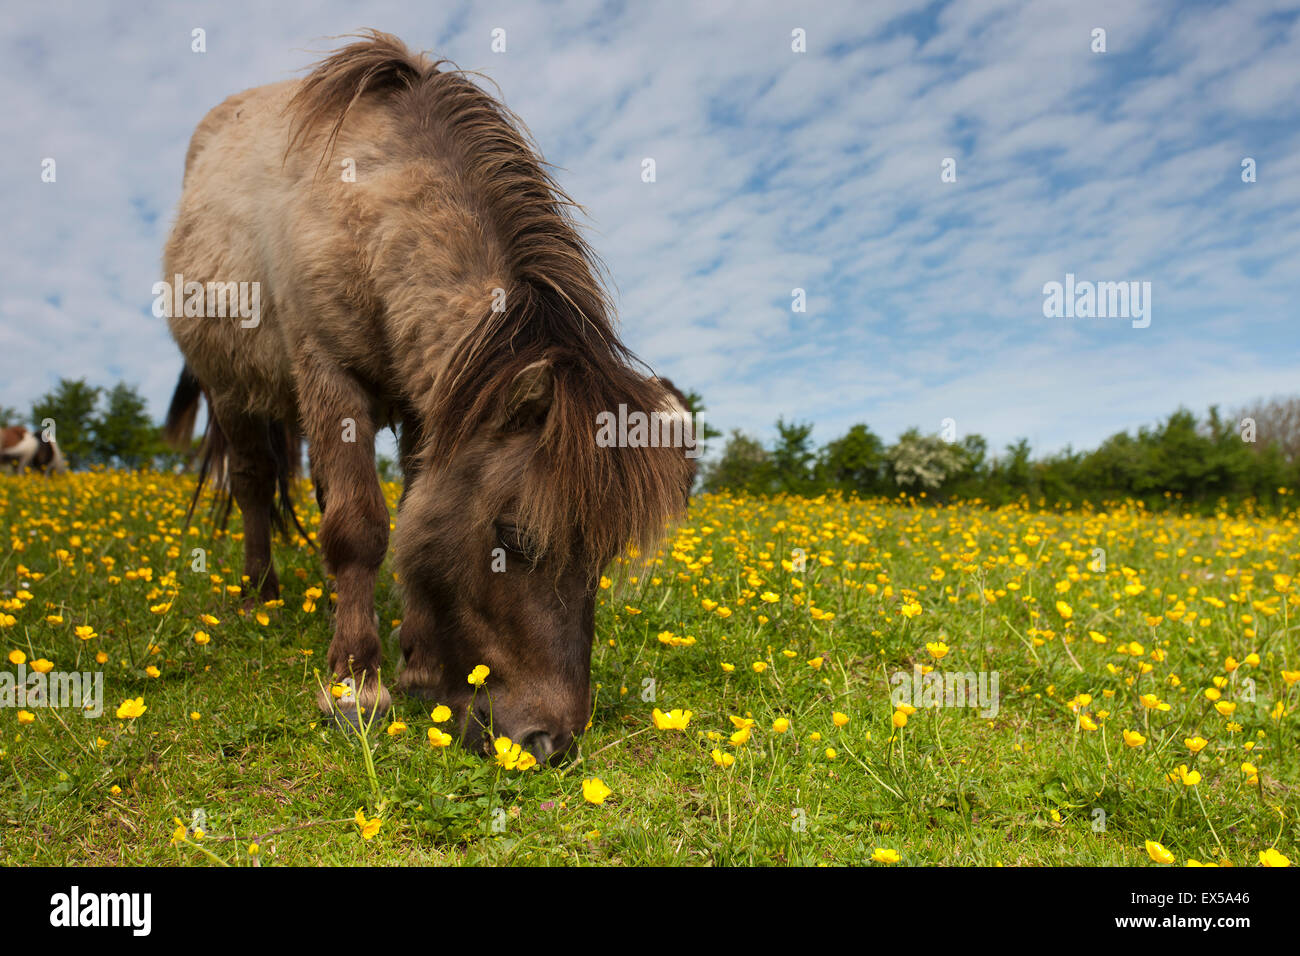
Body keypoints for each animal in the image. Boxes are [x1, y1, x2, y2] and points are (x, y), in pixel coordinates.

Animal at [161, 32, 692, 763]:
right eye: (514, 536)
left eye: (603, 557)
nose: (551, 742)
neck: (369, 208)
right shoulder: (330, 375)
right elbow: (358, 527)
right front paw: (357, 687)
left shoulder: (426, 409)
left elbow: (409, 513)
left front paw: (414, 662)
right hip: (232, 390)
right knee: (252, 484)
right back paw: (259, 598)